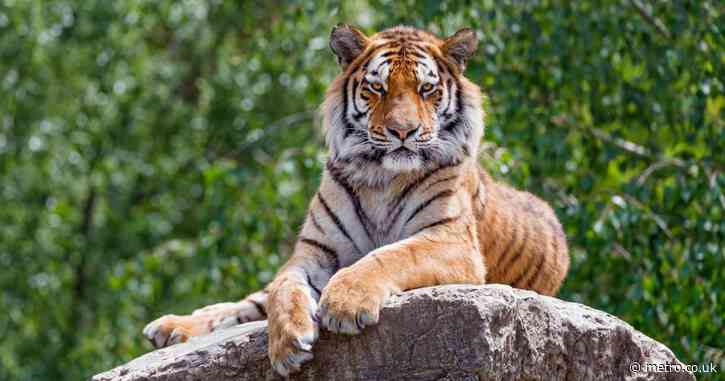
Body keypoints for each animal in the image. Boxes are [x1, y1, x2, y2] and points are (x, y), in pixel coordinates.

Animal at [143, 24, 572, 378]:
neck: (381, 177)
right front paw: (287, 343)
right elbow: (283, 288)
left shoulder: (451, 242)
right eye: (377, 88)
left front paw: (344, 303)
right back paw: (171, 327)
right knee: (249, 302)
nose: (403, 131)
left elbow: (389, 255)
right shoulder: (313, 251)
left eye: (426, 90)